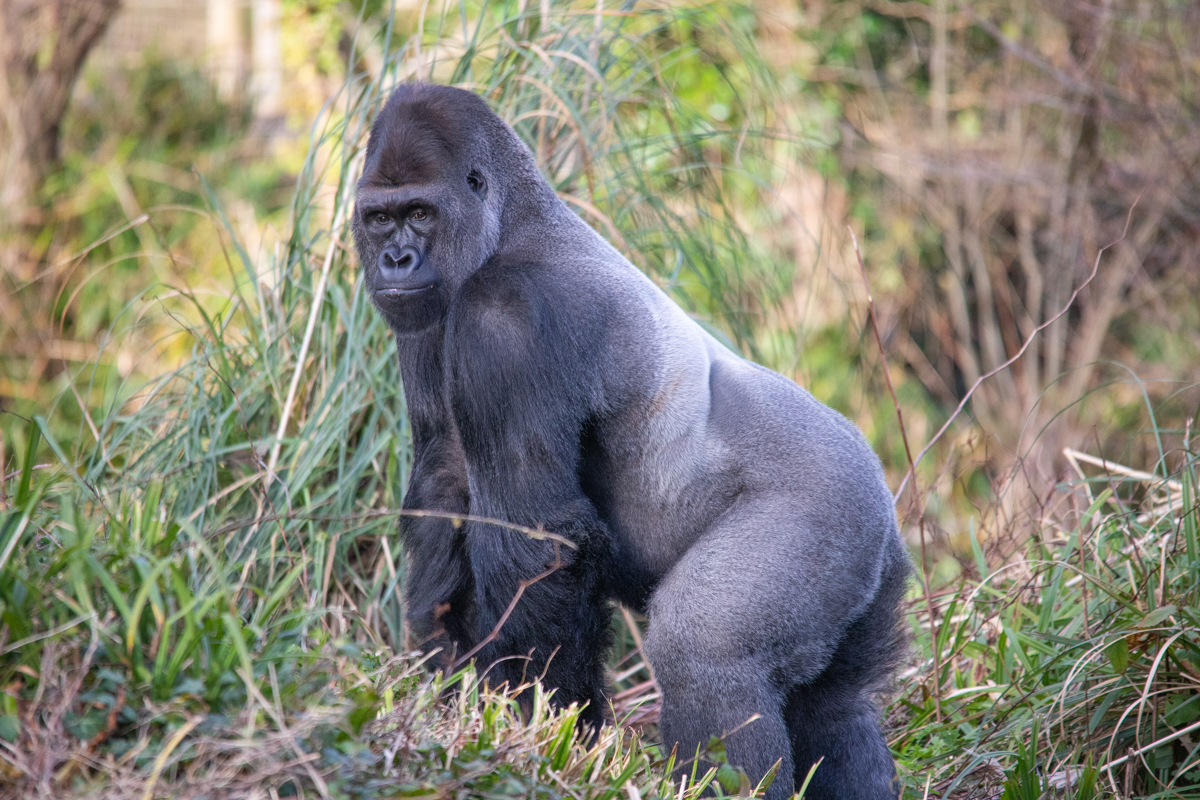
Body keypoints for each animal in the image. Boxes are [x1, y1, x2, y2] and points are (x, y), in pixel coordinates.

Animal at [350, 82, 912, 800]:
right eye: (379, 218)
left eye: (420, 213)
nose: (395, 259)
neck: (511, 221)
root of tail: (880, 491)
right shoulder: (425, 318)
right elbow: (444, 490)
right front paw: (445, 681)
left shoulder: (505, 317)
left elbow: (539, 540)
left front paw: (546, 729)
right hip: (871, 565)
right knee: (837, 705)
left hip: (826, 511)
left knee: (704, 652)